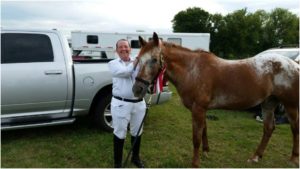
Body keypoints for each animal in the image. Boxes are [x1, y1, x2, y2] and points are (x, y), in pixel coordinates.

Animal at [132, 32, 298, 167]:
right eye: (138, 59)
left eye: (154, 59)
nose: (137, 89)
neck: (193, 70)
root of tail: (294, 64)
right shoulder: (202, 109)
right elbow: (204, 130)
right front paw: (206, 152)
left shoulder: (198, 109)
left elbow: (196, 137)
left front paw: (195, 163)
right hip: (268, 103)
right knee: (268, 128)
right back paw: (256, 157)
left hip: (290, 105)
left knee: (295, 128)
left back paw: (293, 159)